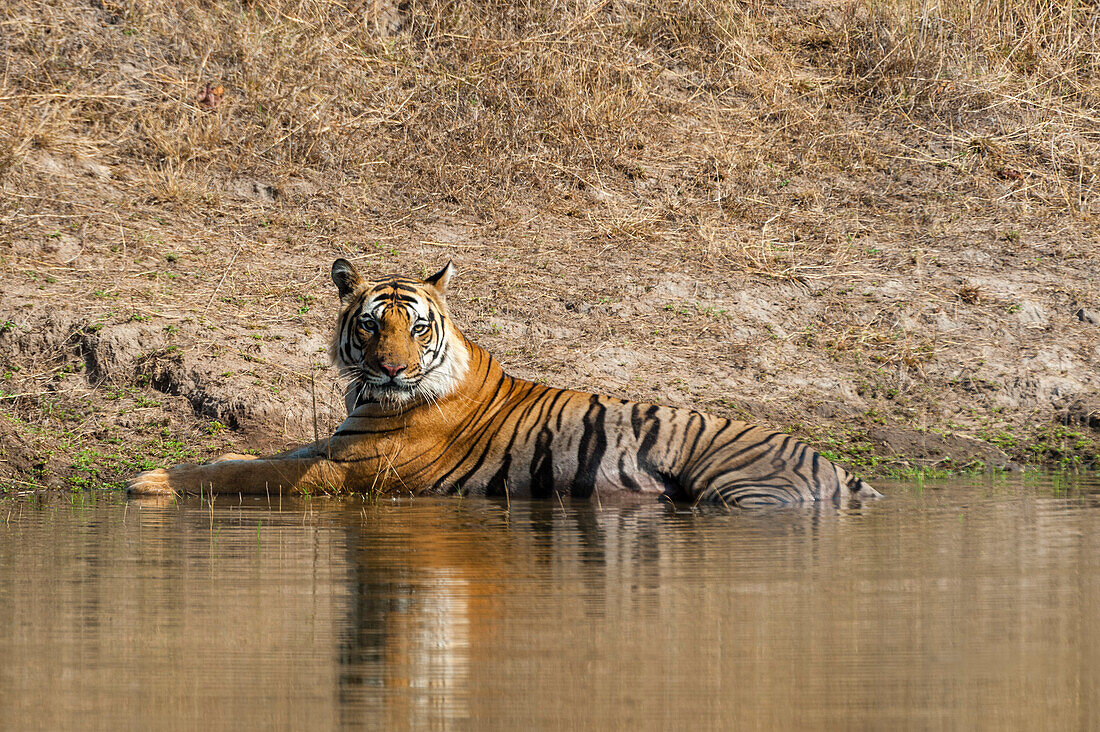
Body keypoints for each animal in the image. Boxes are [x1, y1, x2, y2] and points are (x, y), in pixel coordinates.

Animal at [128, 259, 880, 506]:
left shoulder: (350, 471)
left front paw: (150, 482)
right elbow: (248, 455)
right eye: (370, 326)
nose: (393, 367)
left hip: (742, 491)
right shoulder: (333, 446)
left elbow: (247, 473)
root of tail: (832, 461)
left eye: (417, 328)